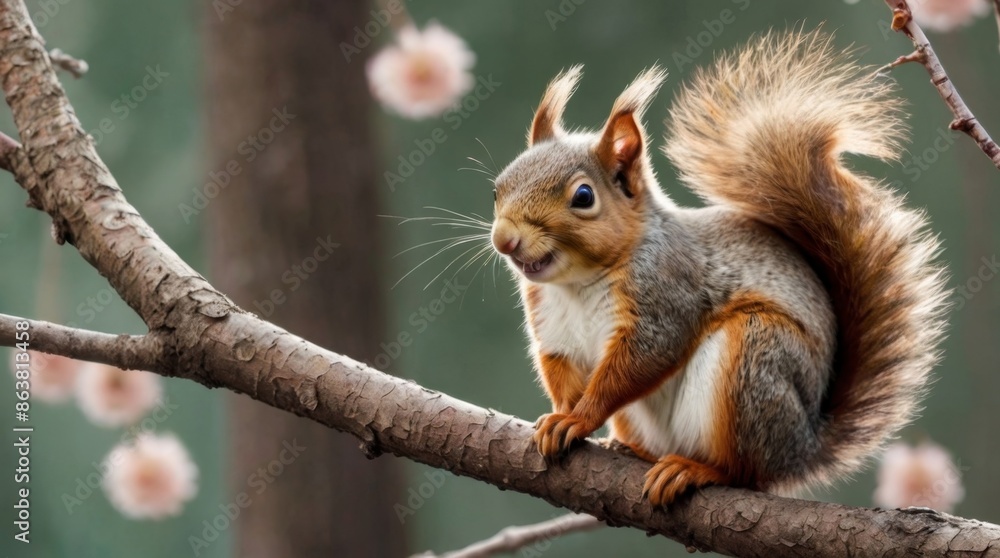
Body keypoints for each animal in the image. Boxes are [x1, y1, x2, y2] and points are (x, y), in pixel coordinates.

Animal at [489, 28, 948, 506]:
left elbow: (637, 363)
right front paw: (560, 416)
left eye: (583, 197)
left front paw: (579, 418)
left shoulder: (667, 294)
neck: (578, 283)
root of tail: (801, 449)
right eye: (497, 189)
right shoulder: (552, 326)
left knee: (743, 471)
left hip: (754, 360)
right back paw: (631, 450)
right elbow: (561, 372)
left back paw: (695, 469)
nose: (505, 239)